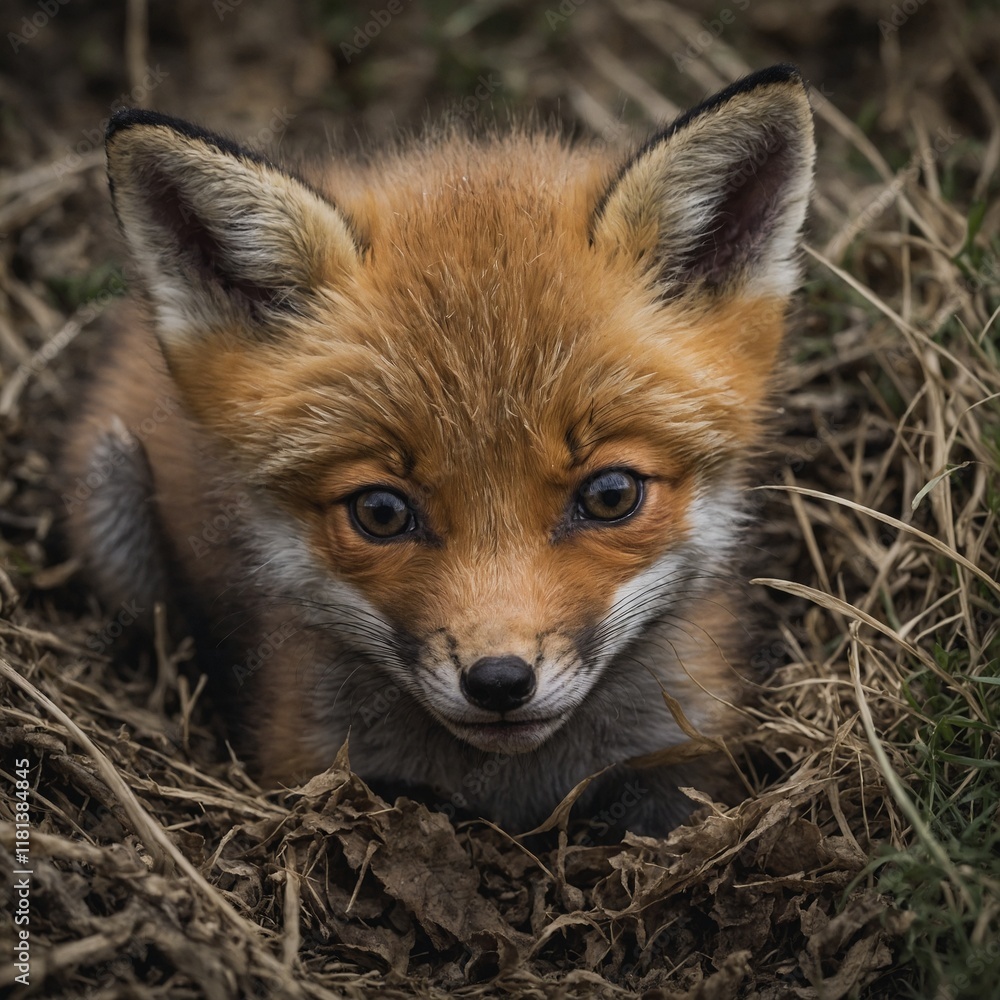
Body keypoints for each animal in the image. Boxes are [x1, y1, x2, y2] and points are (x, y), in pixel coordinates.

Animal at [61, 65, 815, 837]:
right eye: (381, 512)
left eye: (611, 496)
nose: (500, 682)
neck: (511, 788)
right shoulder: (307, 754)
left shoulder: (689, 748)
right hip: (112, 497)